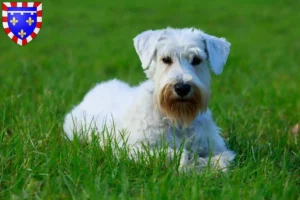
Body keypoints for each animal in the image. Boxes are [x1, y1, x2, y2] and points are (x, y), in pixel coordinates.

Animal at [63, 27, 236, 172]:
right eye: (166, 59)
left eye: (196, 60)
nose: (182, 88)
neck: (177, 118)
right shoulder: (131, 148)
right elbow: (174, 154)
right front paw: (190, 164)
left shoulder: (216, 146)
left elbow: (223, 159)